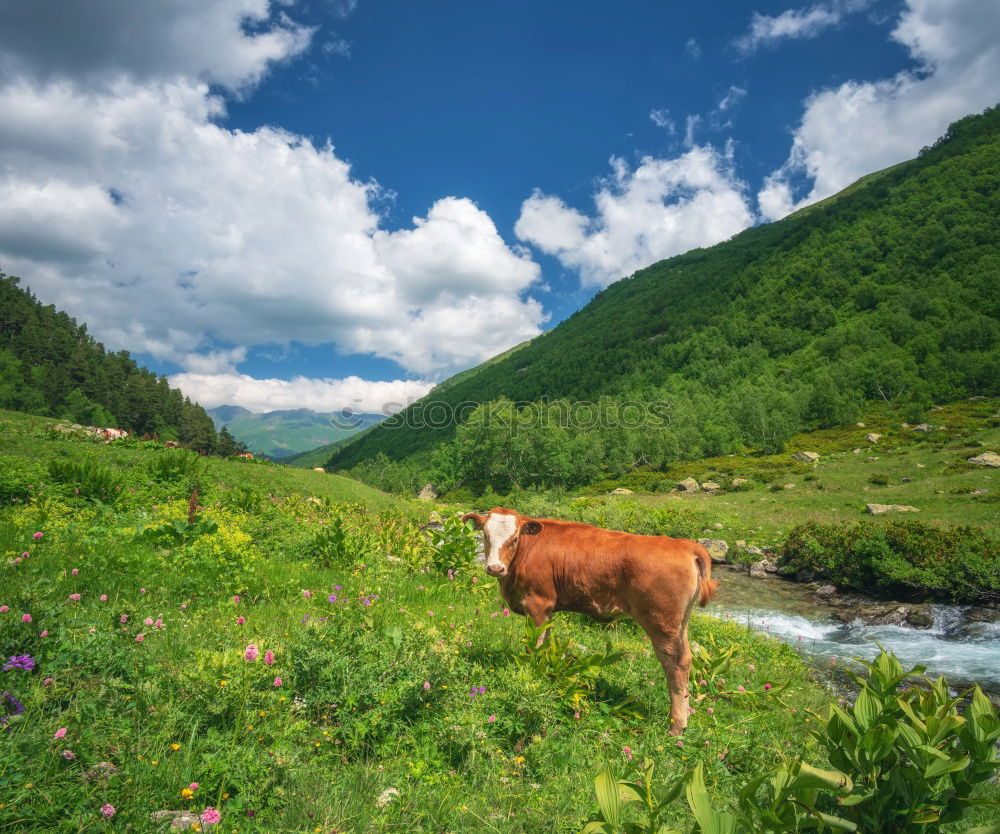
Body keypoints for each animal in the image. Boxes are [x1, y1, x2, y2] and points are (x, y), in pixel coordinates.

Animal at [462, 504, 720, 732]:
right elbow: (546, 643)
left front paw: (533, 675)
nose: (495, 568)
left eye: (514, 538)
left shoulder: (537, 603)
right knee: (687, 659)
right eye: (485, 535)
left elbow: (534, 646)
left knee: (675, 663)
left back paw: (676, 725)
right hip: (680, 623)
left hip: (661, 621)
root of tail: (684, 545)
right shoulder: (547, 609)